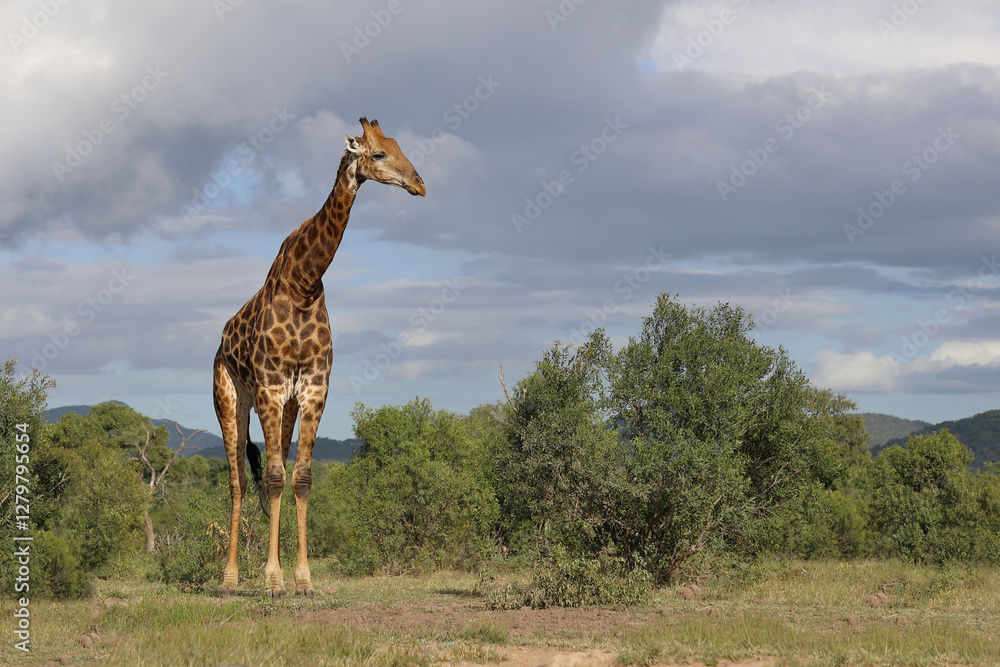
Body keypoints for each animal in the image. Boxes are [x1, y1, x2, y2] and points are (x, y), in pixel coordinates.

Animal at [212, 116, 425, 597]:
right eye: (378, 153)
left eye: (401, 147)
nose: (419, 184)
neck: (303, 284)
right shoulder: (271, 387)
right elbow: (272, 478)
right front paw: (273, 581)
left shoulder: (312, 389)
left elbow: (301, 478)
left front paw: (304, 580)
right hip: (231, 397)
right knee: (237, 479)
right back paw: (230, 580)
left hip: (282, 407)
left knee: (270, 472)